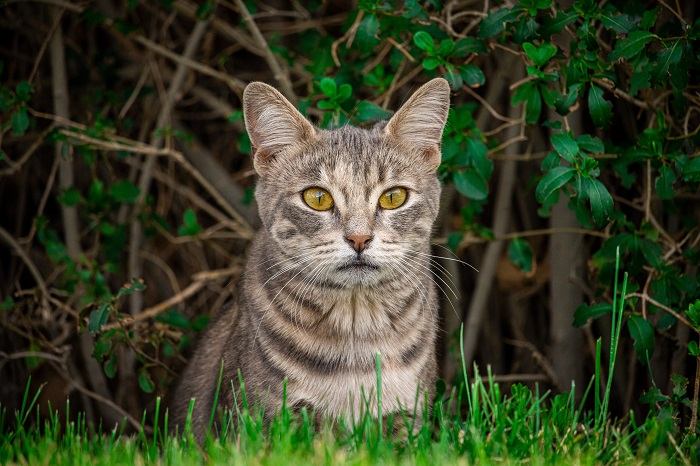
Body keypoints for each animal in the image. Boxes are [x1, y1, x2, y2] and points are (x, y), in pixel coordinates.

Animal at [172, 78, 452, 438]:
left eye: (394, 197)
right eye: (317, 198)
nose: (359, 238)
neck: (357, 329)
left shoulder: (407, 415)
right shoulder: (262, 418)